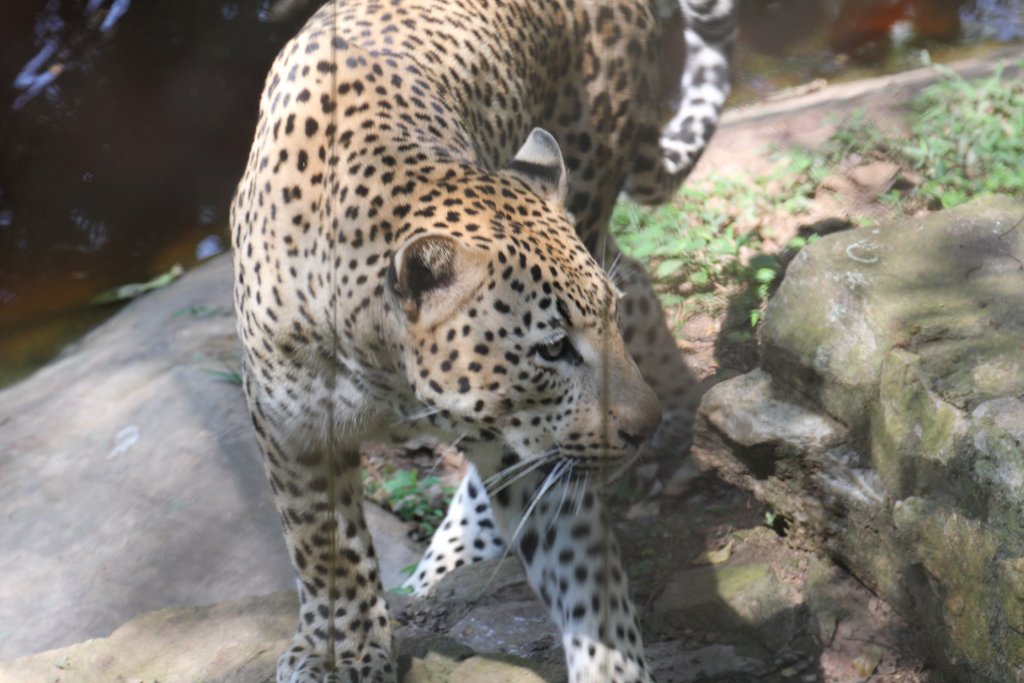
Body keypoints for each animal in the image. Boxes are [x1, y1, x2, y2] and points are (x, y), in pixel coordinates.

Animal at [230, 0, 737, 681]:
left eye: (595, 326)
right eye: (553, 348)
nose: (641, 427)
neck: (388, 372)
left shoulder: (541, 448)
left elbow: (584, 572)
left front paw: (612, 665)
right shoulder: (292, 427)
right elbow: (323, 541)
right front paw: (341, 649)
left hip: (588, 187)